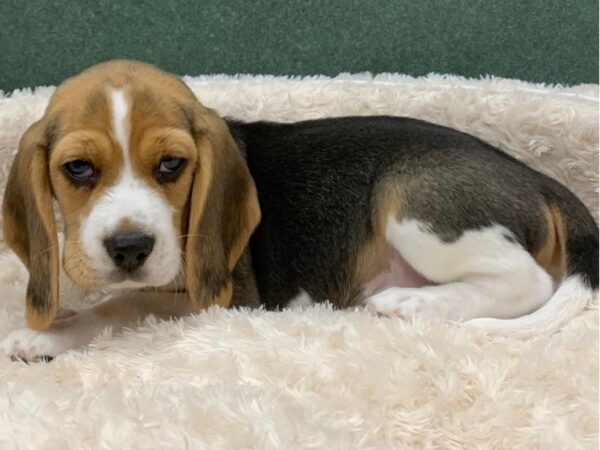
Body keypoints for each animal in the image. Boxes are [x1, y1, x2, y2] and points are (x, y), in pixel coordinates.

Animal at [1, 60, 600, 362]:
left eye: (172, 164)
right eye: (78, 169)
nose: (129, 248)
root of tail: (536, 178)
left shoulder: (222, 298)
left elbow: (120, 306)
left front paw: (45, 336)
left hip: (411, 199)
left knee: (528, 281)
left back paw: (410, 304)